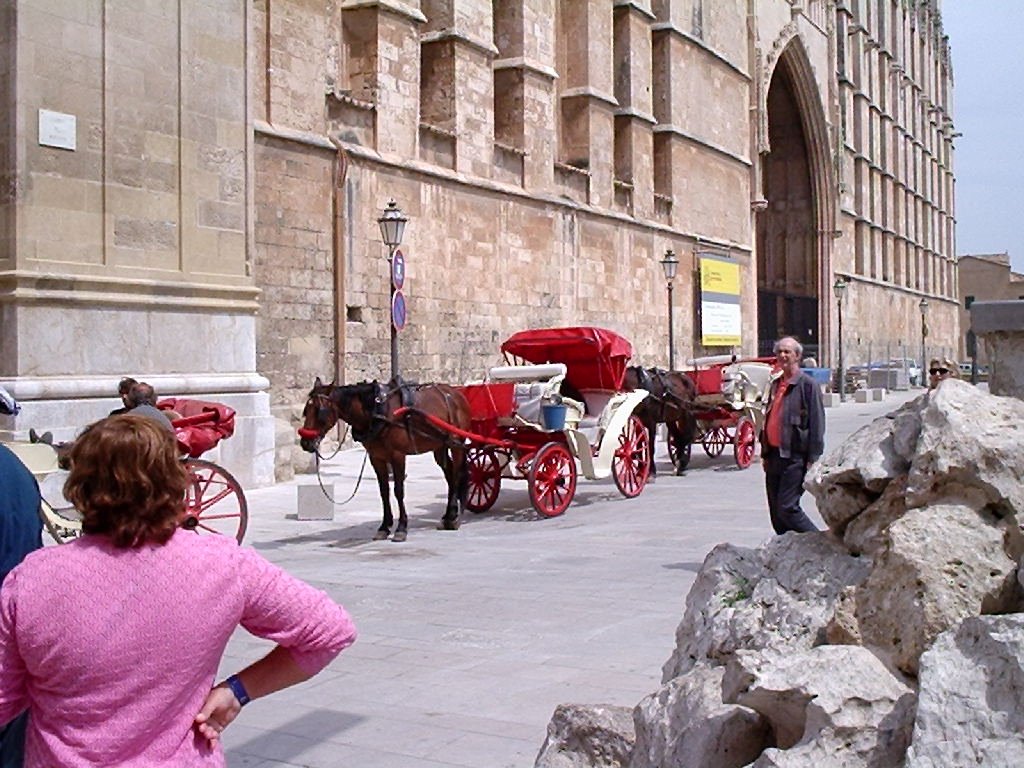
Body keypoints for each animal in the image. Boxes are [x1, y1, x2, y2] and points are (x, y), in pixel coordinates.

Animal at [296, 378, 471, 540]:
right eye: (306, 410)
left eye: (319, 411)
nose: (305, 443)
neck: (378, 411)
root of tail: (456, 394)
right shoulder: (377, 457)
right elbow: (384, 491)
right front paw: (384, 526)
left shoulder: (398, 456)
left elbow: (398, 491)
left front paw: (401, 527)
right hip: (440, 446)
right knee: (449, 474)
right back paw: (448, 515)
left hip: (457, 443)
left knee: (457, 474)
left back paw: (454, 518)